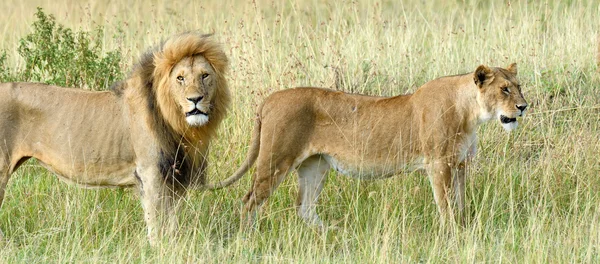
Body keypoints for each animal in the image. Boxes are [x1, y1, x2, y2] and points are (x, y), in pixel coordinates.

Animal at [0, 33, 230, 245]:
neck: (176, 121)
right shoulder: (151, 172)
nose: (195, 99)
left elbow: (172, 221)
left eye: (205, 76)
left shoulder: (174, 175)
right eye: (180, 78)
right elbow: (157, 222)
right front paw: (158, 250)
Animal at [209, 63, 528, 229]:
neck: (471, 113)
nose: (524, 107)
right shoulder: (439, 164)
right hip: (276, 160)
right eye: (504, 89)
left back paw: (332, 233)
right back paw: (247, 235)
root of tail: (269, 99)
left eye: (519, 87)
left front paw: (463, 229)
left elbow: (460, 203)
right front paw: (452, 234)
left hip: (316, 166)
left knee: (305, 207)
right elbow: (446, 204)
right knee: (249, 200)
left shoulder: (459, 164)